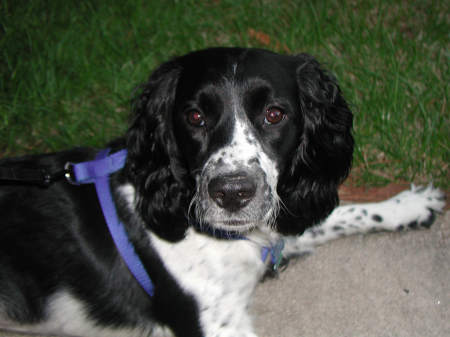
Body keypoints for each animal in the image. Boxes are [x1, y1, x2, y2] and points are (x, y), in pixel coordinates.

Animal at [0, 48, 446, 336]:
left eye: (274, 114)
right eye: (195, 116)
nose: (232, 193)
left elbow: (337, 214)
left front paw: (408, 205)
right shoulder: (217, 325)